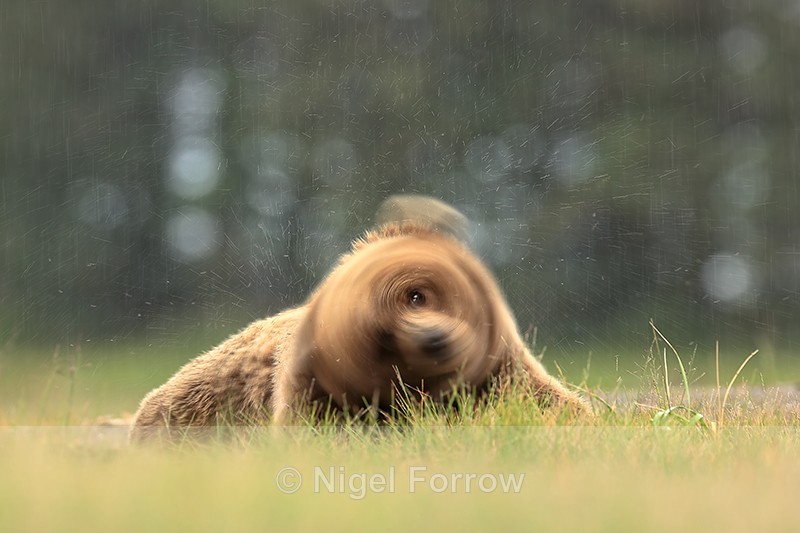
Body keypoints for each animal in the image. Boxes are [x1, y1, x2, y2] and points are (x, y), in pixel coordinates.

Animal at [129, 195, 586, 441]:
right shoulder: (314, 389)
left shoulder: (501, 367)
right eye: (384, 335)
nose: (435, 340)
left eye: (416, 295)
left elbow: (549, 401)